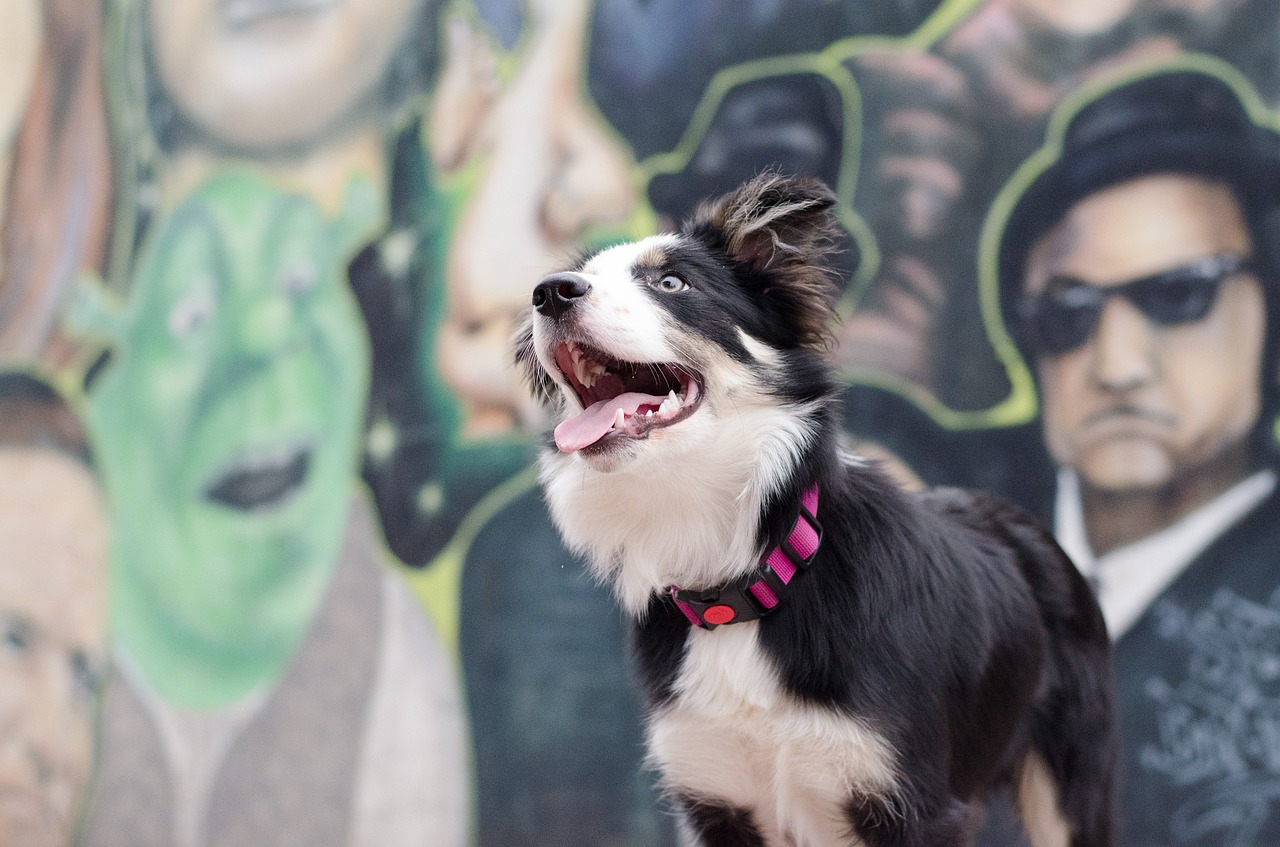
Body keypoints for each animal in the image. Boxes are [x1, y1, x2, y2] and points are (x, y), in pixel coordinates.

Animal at [514, 172, 1116, 847]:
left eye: (672, 283)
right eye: (574, 277)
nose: (549, 293)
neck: (742, 584)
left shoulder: (912, 801)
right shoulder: (713, 794)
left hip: (1071, 778)